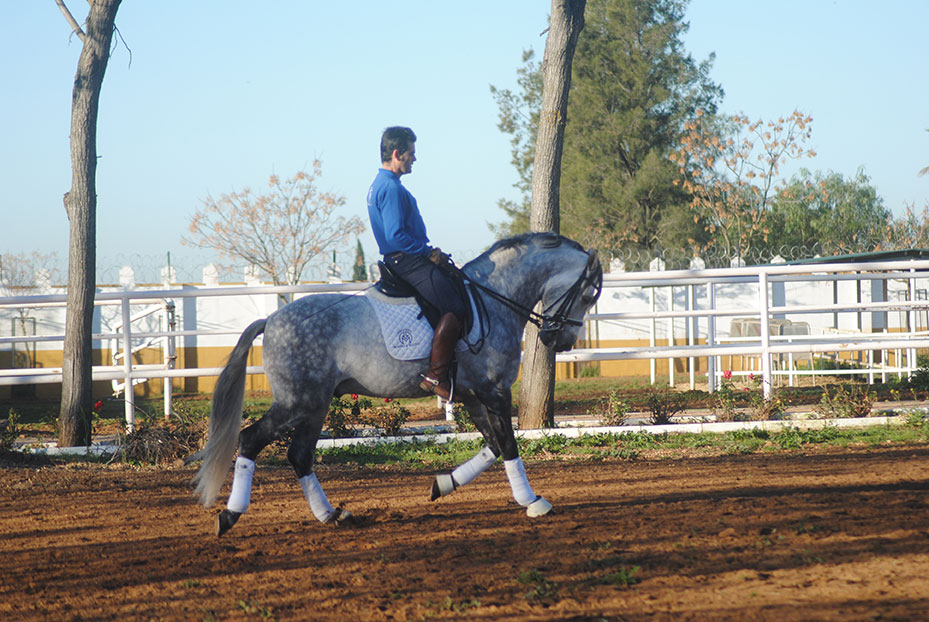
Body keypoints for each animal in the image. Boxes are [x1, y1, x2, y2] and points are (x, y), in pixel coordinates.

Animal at [192, 233, 604, 536]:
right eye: (588, 295)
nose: (561, 341)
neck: (491, 299)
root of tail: (272, 319)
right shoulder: (494, 391)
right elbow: (508, 445)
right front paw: (532, 501)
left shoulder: (472, 395)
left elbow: (491, 445)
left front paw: (443, 484)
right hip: (297, 402)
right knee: (251, 439)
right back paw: (229, 515)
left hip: (315, 405)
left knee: (300, 455)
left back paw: (332, 515)